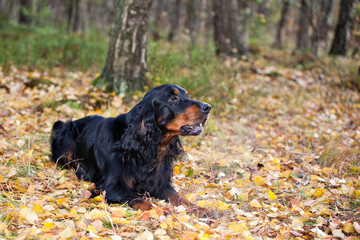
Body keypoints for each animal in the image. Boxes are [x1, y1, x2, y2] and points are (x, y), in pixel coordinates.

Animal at [51, 84, 214, 218]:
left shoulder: (161, 184)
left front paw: (202, 210)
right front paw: (162, 211)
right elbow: (141, 200)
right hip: (67, 133)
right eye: (173, 98)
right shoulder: (111, 187)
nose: (208, 107)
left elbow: (180, 198)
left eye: (187, 95)